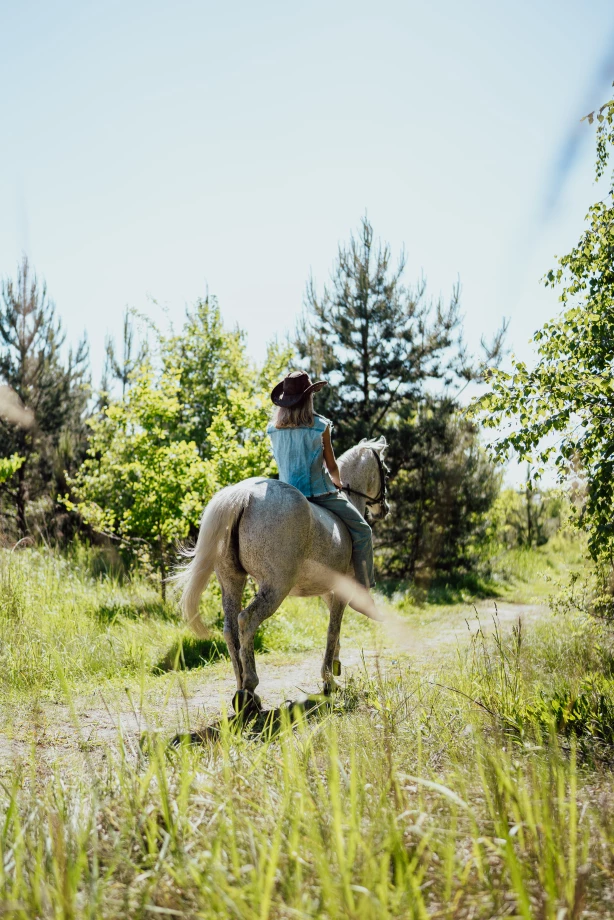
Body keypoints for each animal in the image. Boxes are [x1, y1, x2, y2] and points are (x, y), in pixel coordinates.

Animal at [177, 434, 390, 708]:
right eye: (385, 470)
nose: (384, 509)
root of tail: (243, 494)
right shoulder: (340, 592)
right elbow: (333, 631)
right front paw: (329, 681)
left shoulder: (327, 592)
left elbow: (336, 632)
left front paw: (335, 666)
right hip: (276, 587)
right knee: (247, 620)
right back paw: (250, 689)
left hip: (231, 582)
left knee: (230, 629)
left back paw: (242, 690)